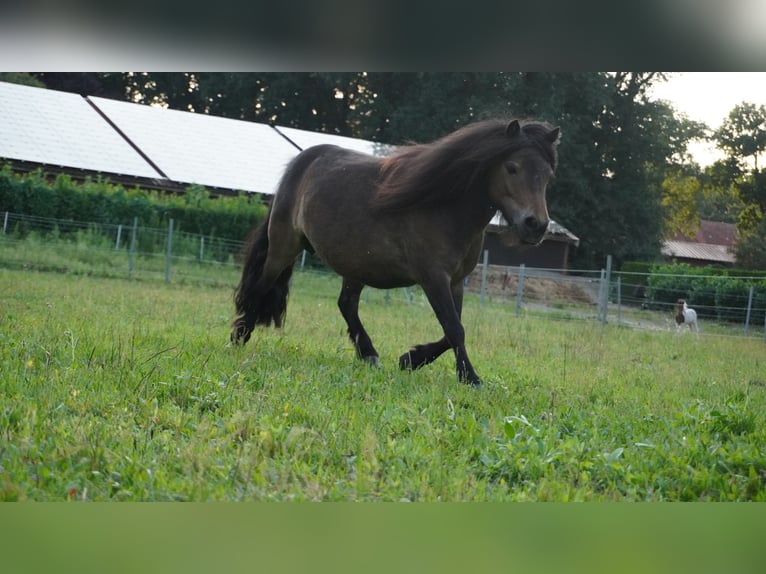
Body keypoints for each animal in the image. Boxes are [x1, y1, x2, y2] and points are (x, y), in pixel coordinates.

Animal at [231, 118, 560, 388]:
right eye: (512, 167)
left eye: (547, 175)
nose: (536, 225)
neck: (446, 208)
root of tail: (299, 163)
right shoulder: (433, 278)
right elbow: (455, 328)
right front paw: (470, 377)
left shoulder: (455, 281)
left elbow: (453, 329)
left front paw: (411, 359)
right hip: (284, 246)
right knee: (261, 286)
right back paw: (239, 336)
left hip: (355, 264)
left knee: (346, 304)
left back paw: (369, 354)